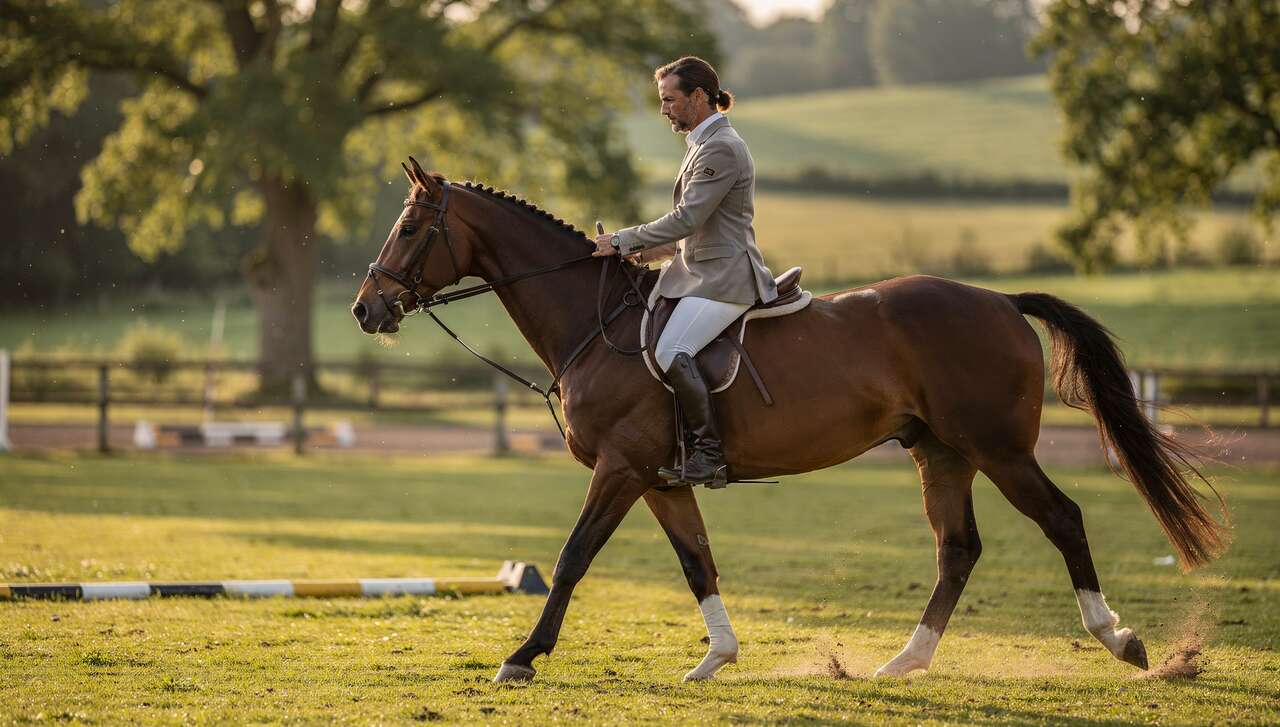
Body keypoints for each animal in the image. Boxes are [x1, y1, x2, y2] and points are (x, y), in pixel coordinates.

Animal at [351, 159, 1229, 683]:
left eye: (408, 228)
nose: (366, 309)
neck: (593, 324)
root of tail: (999, 300)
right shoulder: (661, 477)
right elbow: (697, 561)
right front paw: (718, 656)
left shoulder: (621, 468)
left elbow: (570, 559)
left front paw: (523, 656)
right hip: (940, 452)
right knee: (958, 549)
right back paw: (903, 660)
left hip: (998, 447)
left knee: (1063, 518)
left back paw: (1119, 638)